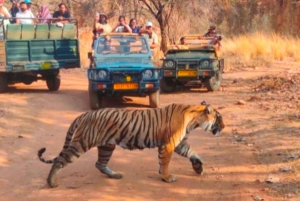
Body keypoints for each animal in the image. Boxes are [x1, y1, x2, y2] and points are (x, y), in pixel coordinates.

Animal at [37, 103, 224, 188]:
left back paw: (115, 175)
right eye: (219, 118)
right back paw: (51, 182)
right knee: (60, 160)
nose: (224, 127)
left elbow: (193, 152)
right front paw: (166, 177)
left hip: (107, 146)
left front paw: (199, 167)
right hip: (81, 144)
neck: (194, 120)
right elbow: (165, 163)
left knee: (99, 163)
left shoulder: (180, 144)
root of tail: (85, 114)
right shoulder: (169, 144)